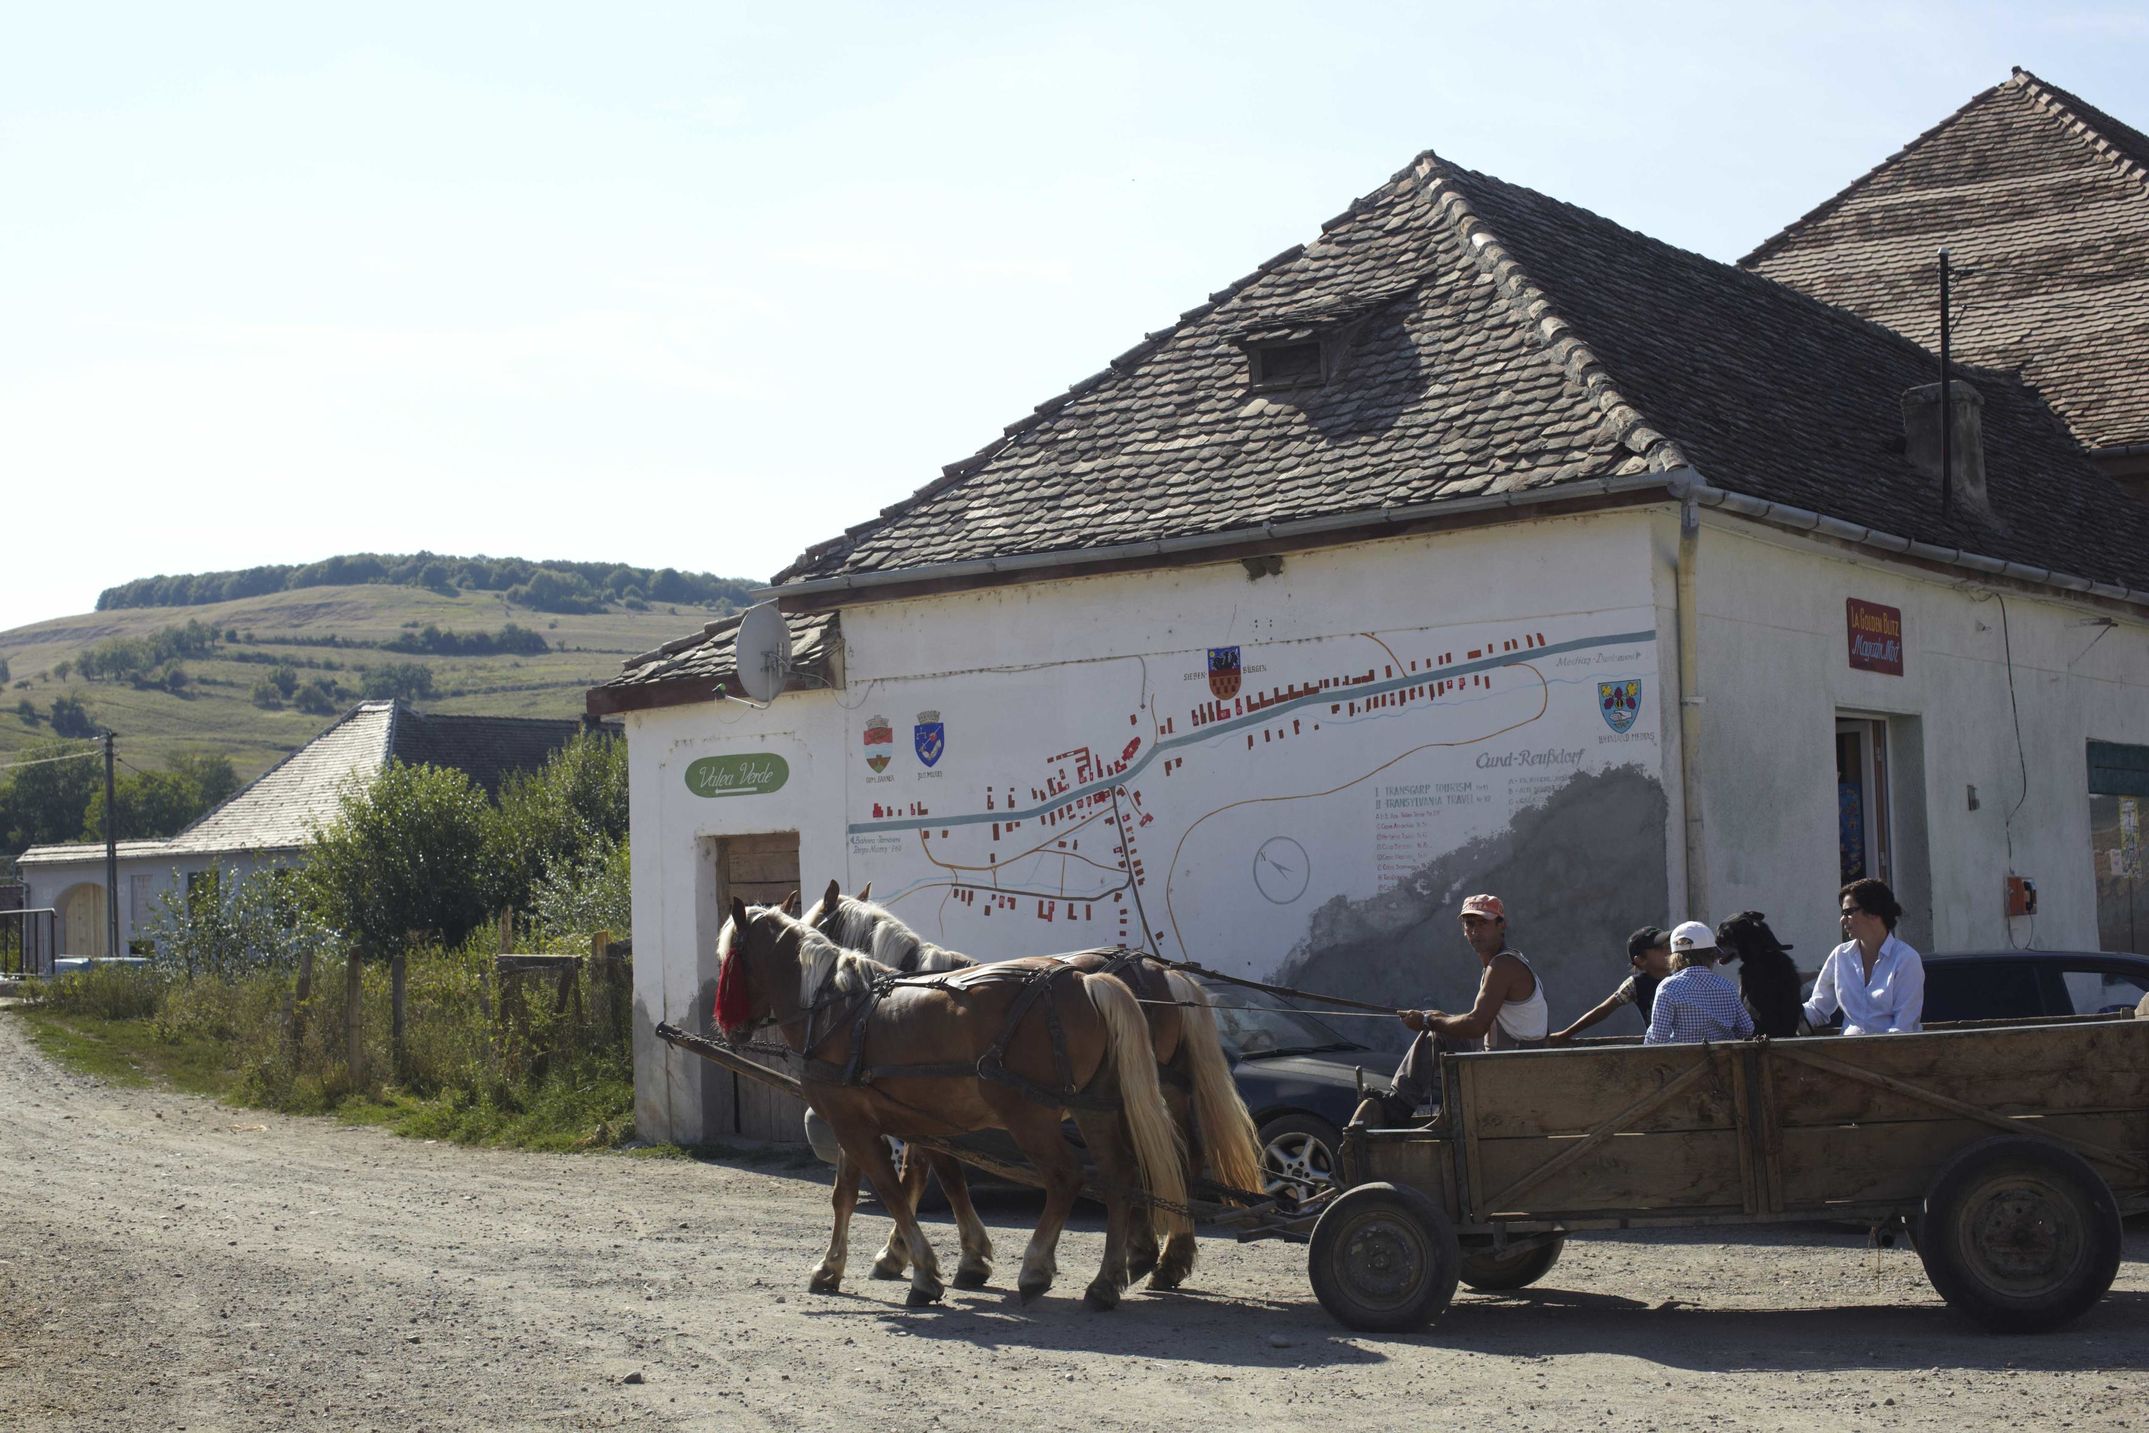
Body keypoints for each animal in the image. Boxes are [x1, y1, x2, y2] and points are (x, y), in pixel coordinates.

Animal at [722, 902, 1194, 1314]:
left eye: (727, 957)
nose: (726, 1025)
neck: (839, 1009)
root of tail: (1084, 982)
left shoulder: (859, 1125)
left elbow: (896, 1190)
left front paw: (922, 1272)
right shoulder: (871, 1121)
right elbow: (858, 1194)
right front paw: (834, 1268)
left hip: (1030, 1116)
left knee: (1067, 1177)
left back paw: (1039, 1268)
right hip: (1093, 1108)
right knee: (1121, 1176)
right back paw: (1109, 1280)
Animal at [808, 880, 1272, 1297]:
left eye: (815, 923)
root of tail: (1165, 975)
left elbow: (923, 1176)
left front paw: (902, 1255)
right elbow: (938, 1176)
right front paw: (946, 1259)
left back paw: (1147, 1257)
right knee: (1169, 1159)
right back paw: (1156, 1257)